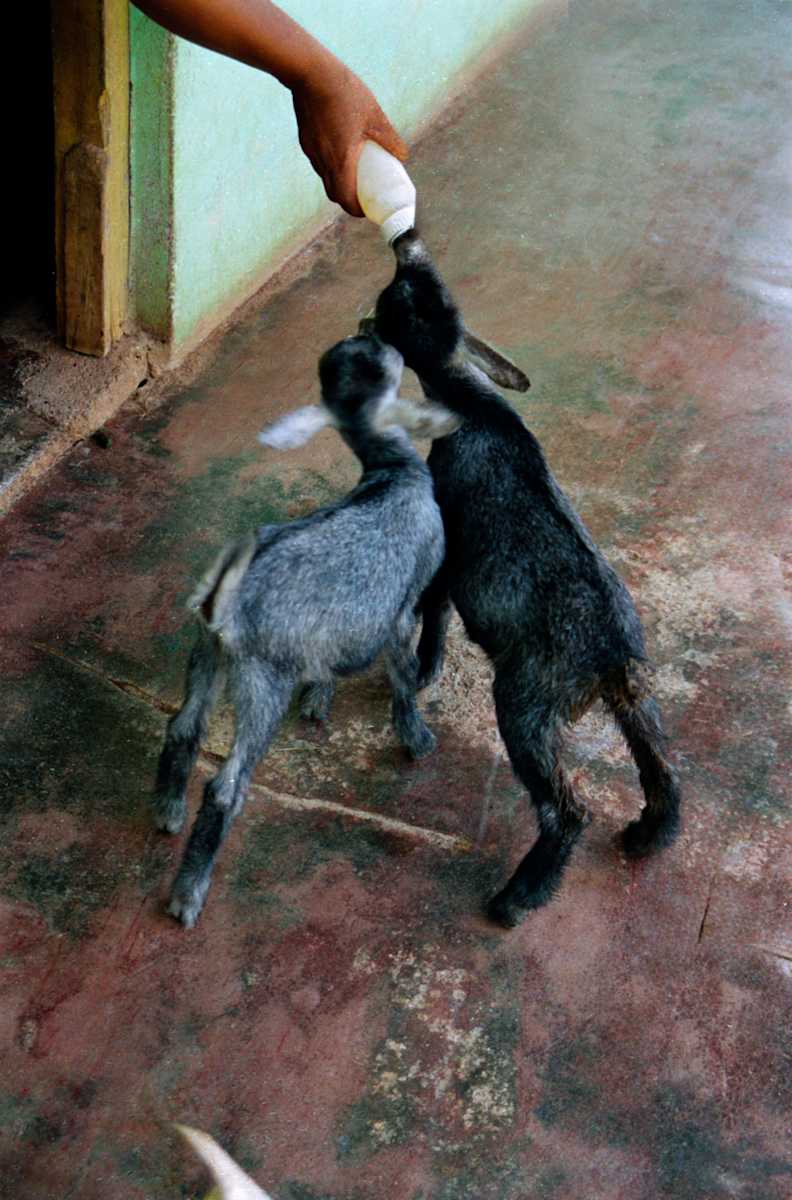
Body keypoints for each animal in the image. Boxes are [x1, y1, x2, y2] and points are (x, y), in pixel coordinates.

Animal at [153, 331, 458, 928]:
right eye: (378, 359)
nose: (372, 332)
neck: (391, 474)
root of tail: (224, 602)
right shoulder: (403, 606)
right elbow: (404, 674)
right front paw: (416, 739)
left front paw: (320, 697)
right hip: (262, 680)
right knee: (226, 786)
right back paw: (188, 893)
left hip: (206, 656)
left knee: (183, 728)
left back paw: (168, 812)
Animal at [372, 230, 681, 928]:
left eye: (392, 300)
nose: (407, 244)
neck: (477, 409)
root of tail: (608, 658)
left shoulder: (449, 537)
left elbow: (435, 605)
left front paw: (423, 670)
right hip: (636, 692)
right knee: (662, 765)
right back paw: (648, 836)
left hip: (525, 702)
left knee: (568, 809)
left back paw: (518, 898)